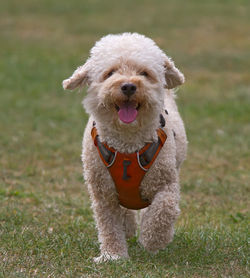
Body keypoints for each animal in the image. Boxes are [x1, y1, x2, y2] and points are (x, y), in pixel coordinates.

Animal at [62, 32, 188, 262]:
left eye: (144, 73)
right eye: (110, 73)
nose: (128, 86)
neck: (127, 145)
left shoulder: (166, 181)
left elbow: (164, 208)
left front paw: (153, 240)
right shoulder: (103, 191)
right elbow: (109, 225)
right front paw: (113, 256)